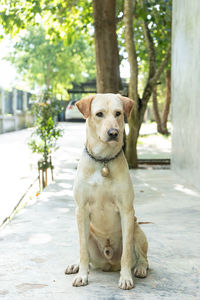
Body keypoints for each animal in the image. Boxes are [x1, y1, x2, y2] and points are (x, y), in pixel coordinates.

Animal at [65, 93, 148, 288]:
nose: (113, 133)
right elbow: (82, 251)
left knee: (143, 258)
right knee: (85, 254)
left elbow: (126, 254)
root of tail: (109, 264)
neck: (103, 160)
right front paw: (82, 275)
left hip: (138, 230)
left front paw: (126, 277)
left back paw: (140, 268)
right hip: (88, 234)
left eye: (118, 113)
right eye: (99, 114)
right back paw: (76, 265)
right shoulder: (81, 210)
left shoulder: (127, 211)